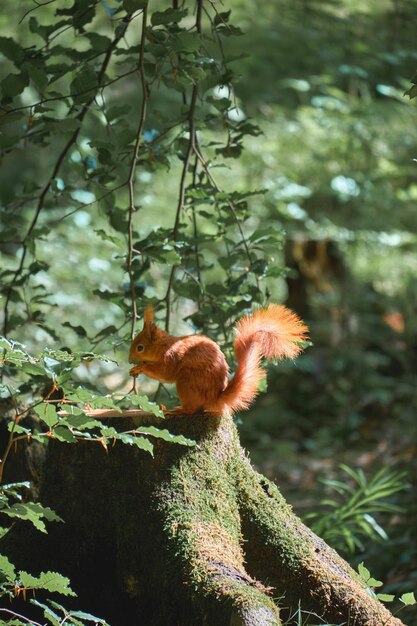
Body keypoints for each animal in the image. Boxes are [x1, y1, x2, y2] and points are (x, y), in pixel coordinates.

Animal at [128, 304, 308, 414]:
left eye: (140, 347)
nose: (129, 360)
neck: (164, 345)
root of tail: (214, 399)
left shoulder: (171, 357)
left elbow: (165, 374)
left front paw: (141, 367)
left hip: (186, 382)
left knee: (192, 409)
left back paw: (175, 410)